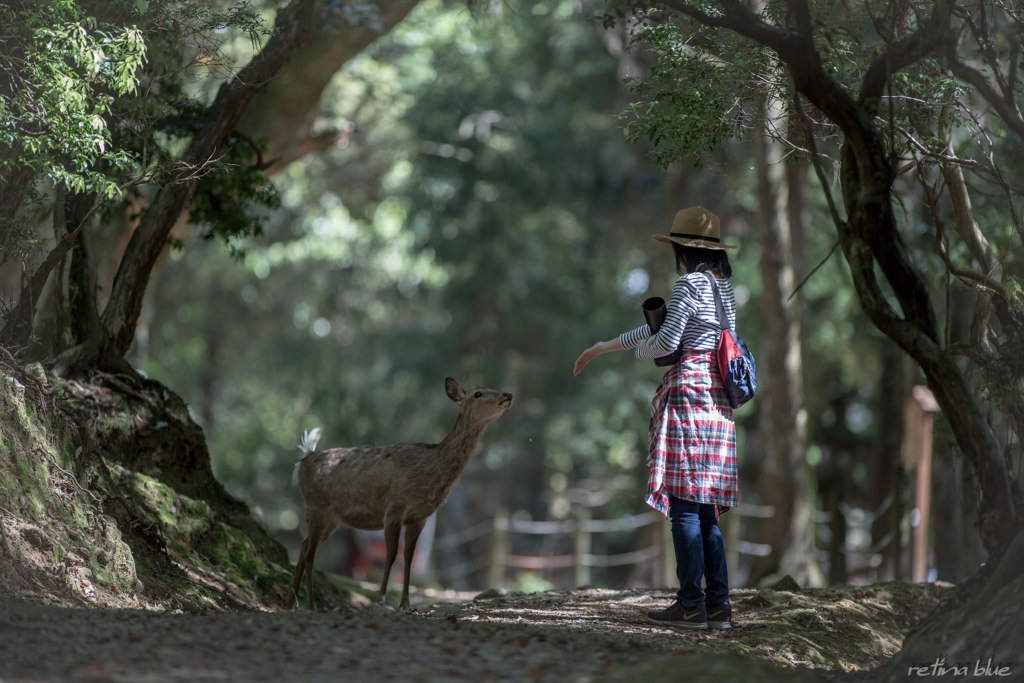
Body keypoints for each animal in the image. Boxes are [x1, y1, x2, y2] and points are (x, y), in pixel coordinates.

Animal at [286, 376, 512, 610]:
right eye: (478, 393)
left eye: (490, 387)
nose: (508, 395)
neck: (431, 470)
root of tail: (303, 459)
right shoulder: (395, 507)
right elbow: (392, 553)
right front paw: (381, 600)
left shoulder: (419, 516)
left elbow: (409, 556)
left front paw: (406, 604)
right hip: (316, 505)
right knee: (310, 553)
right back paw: (311, 605)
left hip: (332, 517)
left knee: (304, 545)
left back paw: (290, 602)